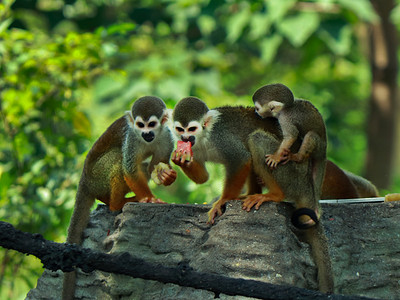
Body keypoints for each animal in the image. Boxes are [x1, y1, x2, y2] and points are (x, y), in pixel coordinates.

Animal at [62, 96, 177, 300]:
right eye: (140, 125)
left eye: (151, 124)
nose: (146, 133)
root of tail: (84, 179)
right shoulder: (131, 138)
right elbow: (129, 169)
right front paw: (148, 198)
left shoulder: (166, 136)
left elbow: (154, 165)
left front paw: (165, 176)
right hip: (97, 175)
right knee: (118, 158)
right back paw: (117, 204)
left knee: (143, 166)